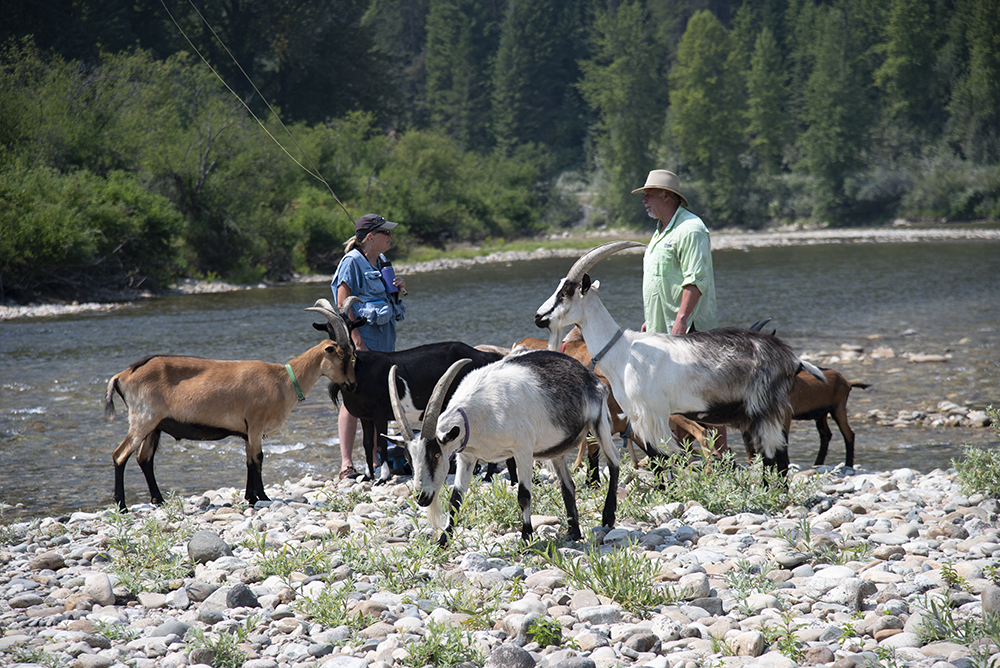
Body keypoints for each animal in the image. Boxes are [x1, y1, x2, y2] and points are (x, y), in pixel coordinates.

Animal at [104, 310, 355, 510]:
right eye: (343, 357)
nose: (352, 385)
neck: (282, 380)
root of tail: (121, 377)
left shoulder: (247, 431)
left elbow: (249, 460)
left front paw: (251, 497)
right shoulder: (255, 424)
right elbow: (258, 459)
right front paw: (262, 497)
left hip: (154, 427)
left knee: (144, 459)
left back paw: (159, 500)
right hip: (143, 419)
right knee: (120, 455)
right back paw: (122, 506)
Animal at [308, 299, 507, 483]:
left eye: (350, 325)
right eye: (329, 328)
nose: (347, 348)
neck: (359, 371)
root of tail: (485, 355)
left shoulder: (380, 413)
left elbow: (380, 444)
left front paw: (383, 477)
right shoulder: (365, 416)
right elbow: (367, 444)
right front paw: (368, 476)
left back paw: (488, 475)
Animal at [387, 351, 620, 546]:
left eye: (436, 454)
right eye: (408, 459)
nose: (422, 497)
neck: (481, 409)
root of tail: (589, 376)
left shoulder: (523, 450)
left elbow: (524, 495)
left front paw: (526, 538)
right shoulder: (467, 456)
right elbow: (456, 498)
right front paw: (442, 541)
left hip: (599, 423)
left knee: (614, 461)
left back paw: (607, 517)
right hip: (555, 449)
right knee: (568, 486)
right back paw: (573, 533)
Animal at [534, 241, 826, 476]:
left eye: (565, 293)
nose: (538, 317)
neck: (624, 353)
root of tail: (791, 357)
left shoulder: (653, 414)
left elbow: (660, 457)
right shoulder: (638, 416)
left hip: (766, 407)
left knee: (778, 455)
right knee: (771, 455)